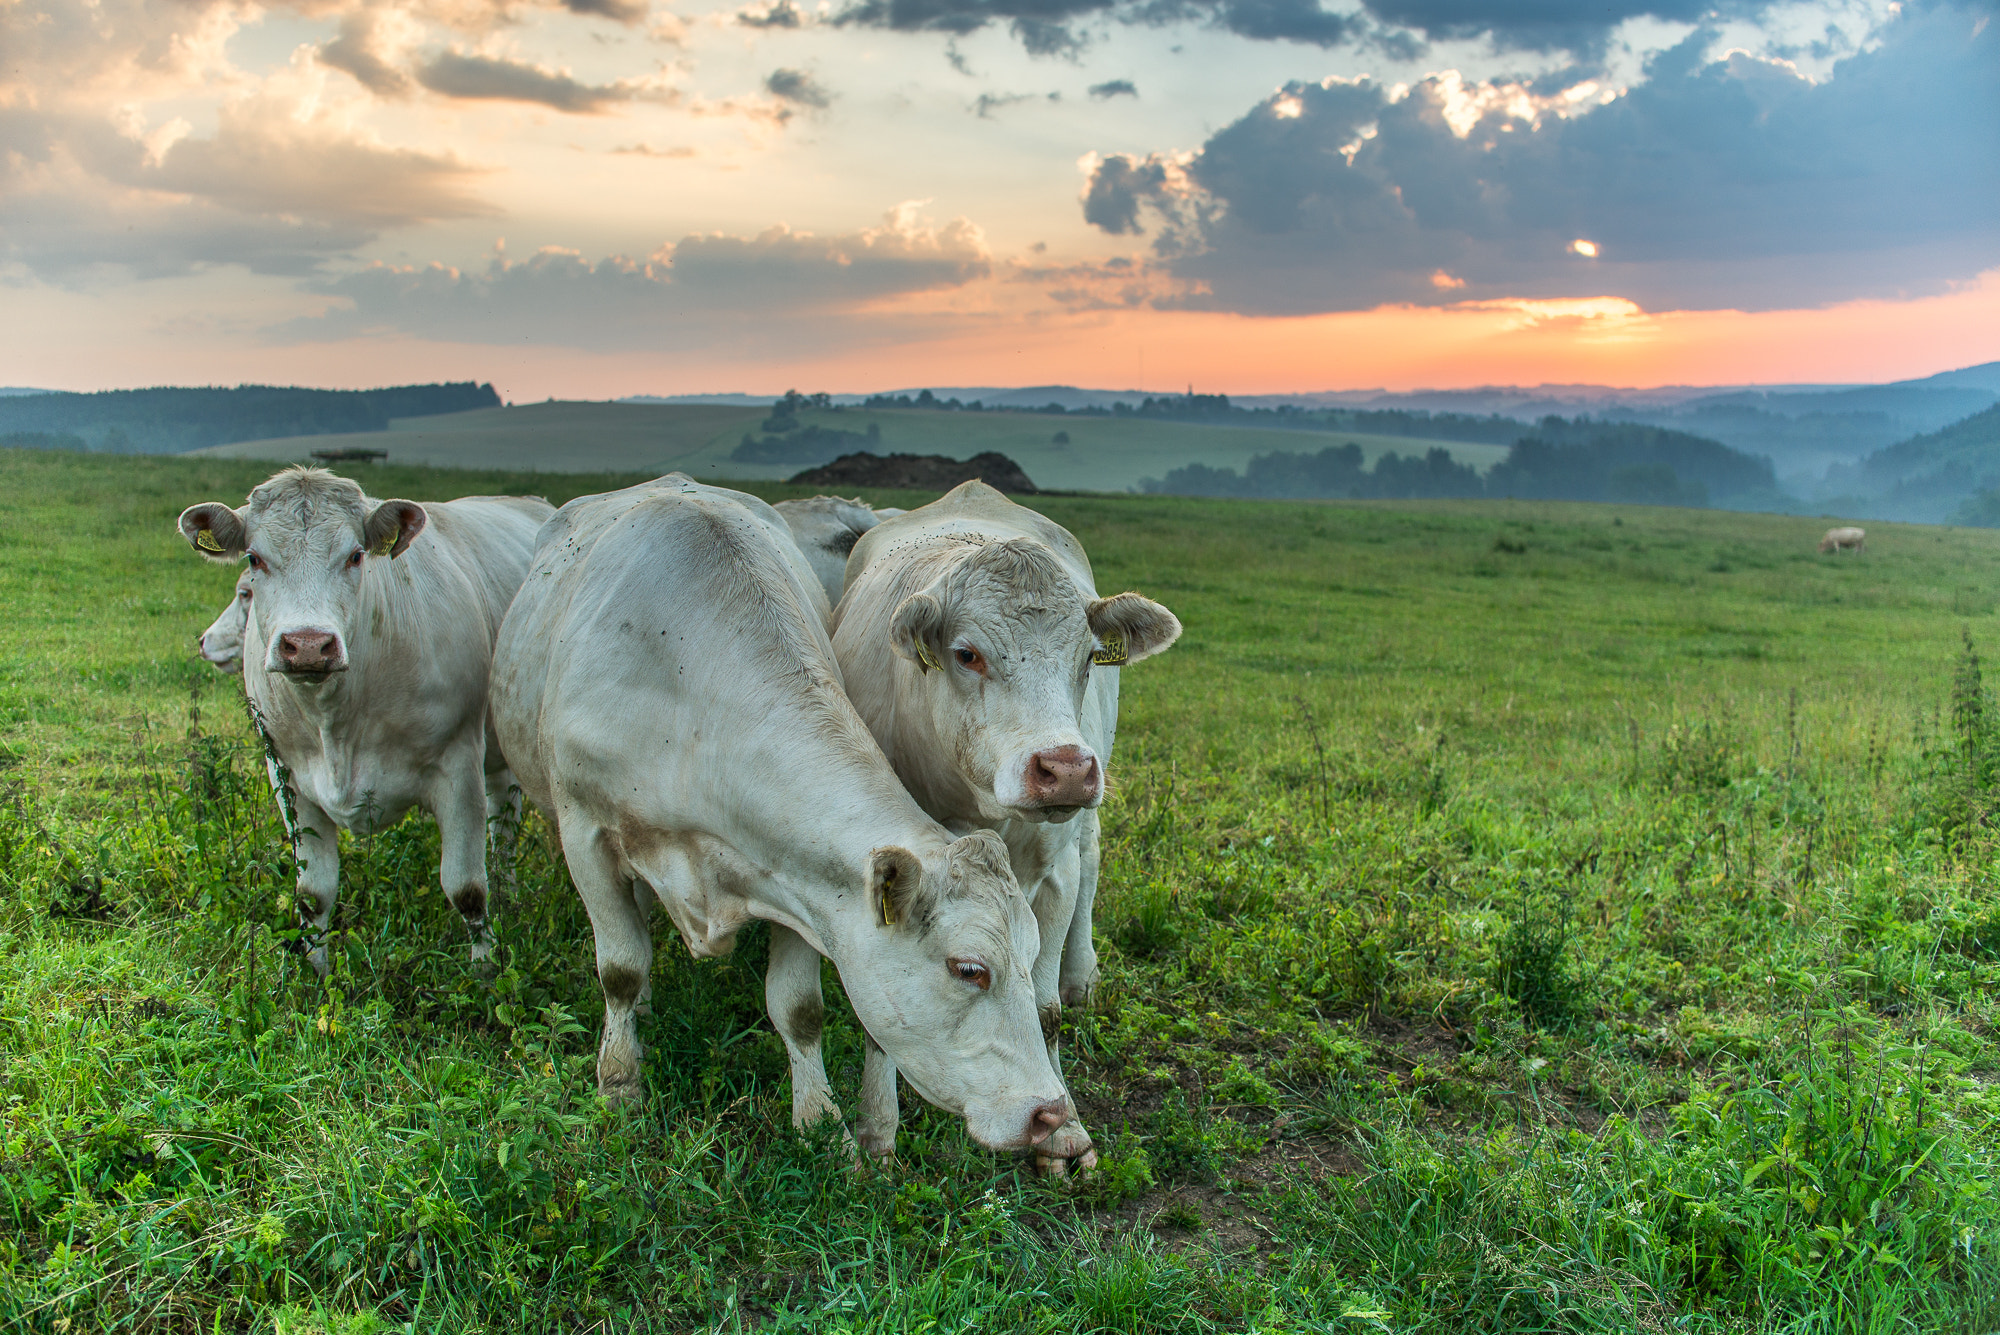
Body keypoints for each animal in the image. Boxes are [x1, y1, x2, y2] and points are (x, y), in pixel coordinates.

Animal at [176, 469, 552, 971]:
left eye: (355, 555)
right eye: (254, 558)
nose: (308, 645)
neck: (336, 722)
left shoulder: (458, 766)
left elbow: (467, 889)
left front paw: (485, 973)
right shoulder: (288, 777)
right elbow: (313, 894)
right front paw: (316, 976)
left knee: (503, 831)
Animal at [488, 473, 1080, 1151]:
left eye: (1032, 956)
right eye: (969, 969)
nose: (1048, 1113)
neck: (689, 709)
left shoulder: (796, 881)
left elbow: (799, 1009)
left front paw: (820, 1123)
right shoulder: (583, 831)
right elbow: (620, 968)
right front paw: (620, 1084)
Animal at [832, 485, 1184, 1175]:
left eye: (1087, 658)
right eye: (967, 654)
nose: (1066, 769)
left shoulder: (1054, 872)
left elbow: (1043, 1014)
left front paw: (1065, 1133)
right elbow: (881, 1021)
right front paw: (876, 1134)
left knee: (1093, 861)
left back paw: (1081, 974)